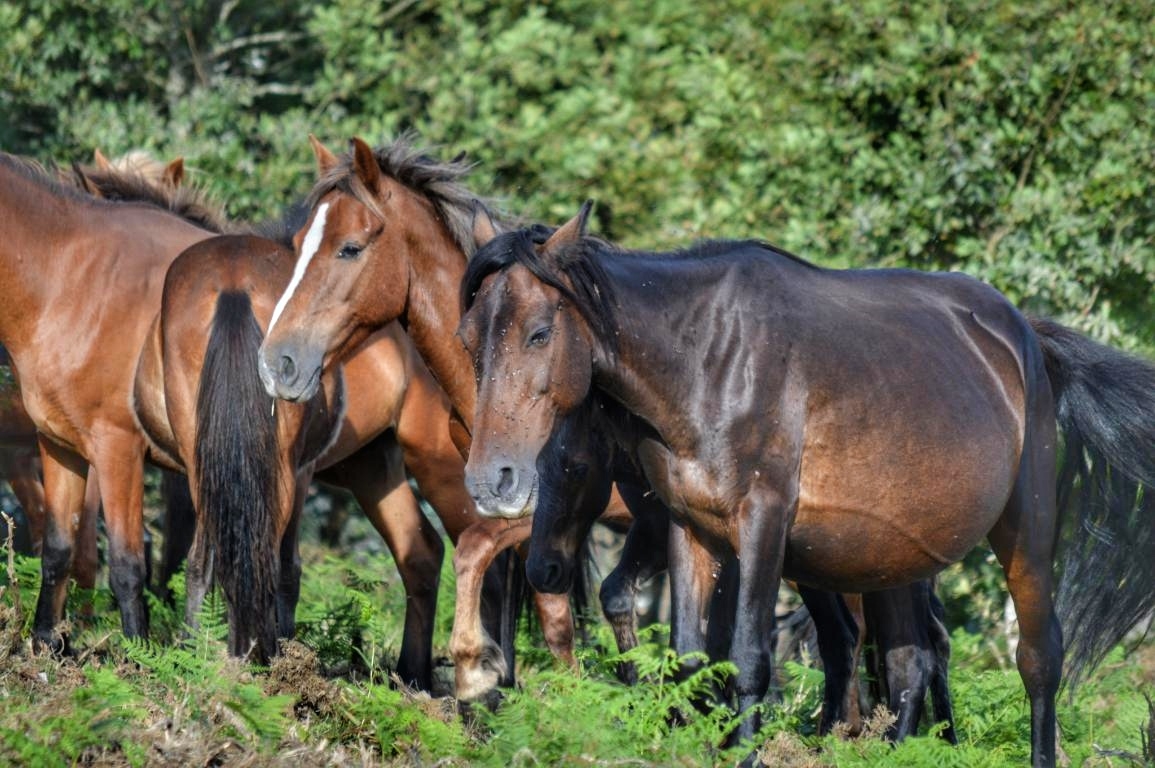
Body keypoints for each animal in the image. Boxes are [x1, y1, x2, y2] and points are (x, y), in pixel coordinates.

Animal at [455, 203, 1155, 766]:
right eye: (469, 339)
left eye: (539, 332)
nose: (491, 481)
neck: (706, 361)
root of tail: (1025, 337)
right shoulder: (689, 529)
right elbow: (690, 657)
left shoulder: (762, 523)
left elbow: (747, 658)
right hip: (894, 557)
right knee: (909, 658)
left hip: (1025, 535)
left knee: (1038, 659)